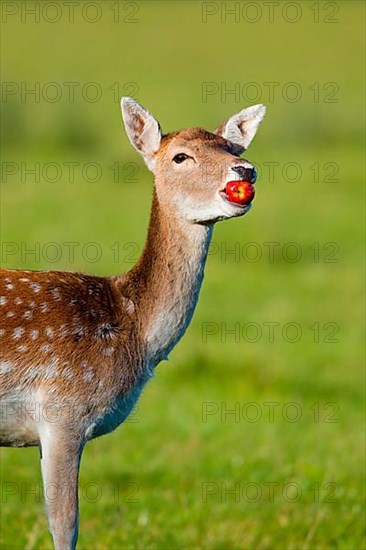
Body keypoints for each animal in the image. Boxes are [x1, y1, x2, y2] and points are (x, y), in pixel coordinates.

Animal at [0, 99, 264, 550]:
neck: (133, 330)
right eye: (180, 156)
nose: (244, 171)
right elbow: (66, 524)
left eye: (233, 148)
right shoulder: (63, 410)